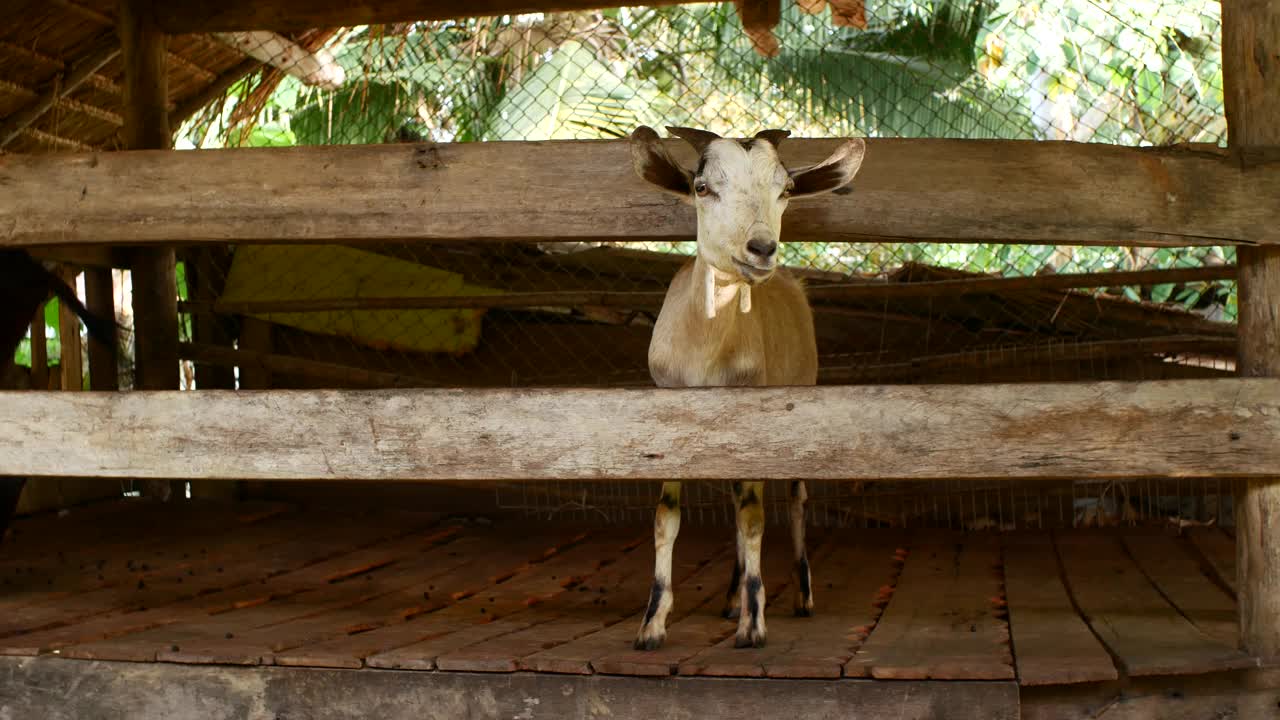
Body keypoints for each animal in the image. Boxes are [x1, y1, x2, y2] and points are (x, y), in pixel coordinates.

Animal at [632, 124, 870, 650]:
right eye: (703, 188)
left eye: (786, 190)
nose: (761, 249)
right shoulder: (667, 415)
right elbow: (666, 518)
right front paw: (652, 624)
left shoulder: (755, 415)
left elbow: (755, 519)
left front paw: (754, 625)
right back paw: (729, 597)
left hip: (800, 390)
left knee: (794, 499)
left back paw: (799, 597)